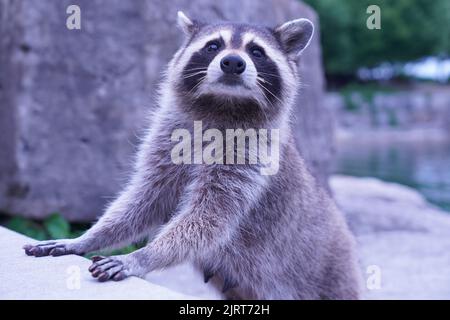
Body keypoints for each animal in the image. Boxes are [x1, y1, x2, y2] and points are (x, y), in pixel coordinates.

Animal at [23, 10, 362, 300]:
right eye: (214, 46)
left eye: (256, 52)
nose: (233, 62)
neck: (223, 104)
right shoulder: (167, 142)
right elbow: (143, 200)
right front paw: (90, 237)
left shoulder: (250, 156)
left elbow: (208, 217)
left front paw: (142, 256)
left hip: (330, 278)